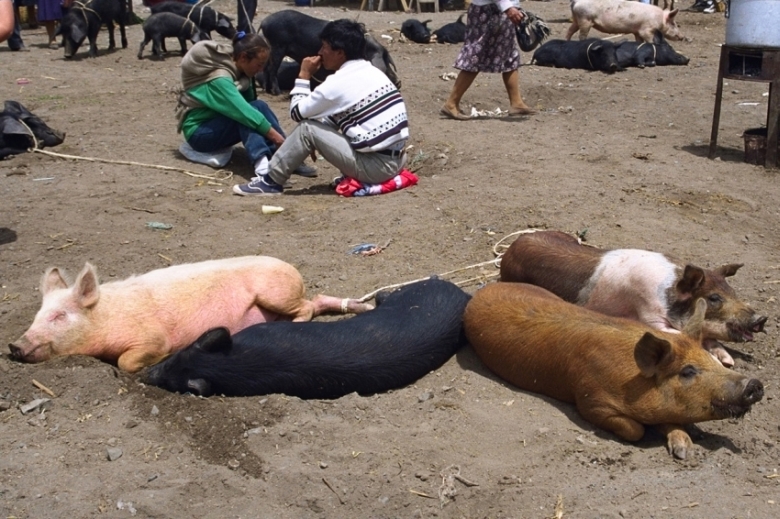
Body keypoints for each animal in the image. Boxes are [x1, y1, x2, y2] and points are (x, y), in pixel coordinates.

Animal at [8, 256, 374, 374]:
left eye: (59, 316)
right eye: (37, 314)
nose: (13, 346)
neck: (106, 320)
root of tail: (293, 270)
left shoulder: (152, 337)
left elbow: (128, 362)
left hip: (277, 293)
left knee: (308, 308)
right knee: (318, 300)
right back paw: (365, 307)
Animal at [262, 8, 400, 96]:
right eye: (385, 63)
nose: (398, 82)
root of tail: (265, 22)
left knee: (266, 68)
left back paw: (267, 90)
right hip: (278, 47)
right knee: (272, 69)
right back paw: (278, 93)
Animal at [466, 284, 764, 460]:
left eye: (709, 359)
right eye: (687, 371)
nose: (754, 384)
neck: (632, 381)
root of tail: (484, 288)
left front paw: (685, 450)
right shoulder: (590, 402)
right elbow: (635, 430)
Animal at [500, 230, 768, 368]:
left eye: (733, 292)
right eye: (714, 298)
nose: (761, 318)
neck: (670, 294)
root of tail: (514, 244)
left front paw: (728, 360)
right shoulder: (648, 314)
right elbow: (687, 336)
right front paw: (722, 361)